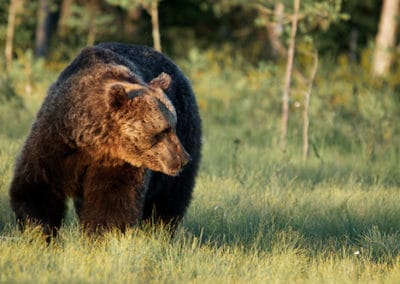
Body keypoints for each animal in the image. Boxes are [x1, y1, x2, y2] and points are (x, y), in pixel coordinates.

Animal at [8, 42, 203, 237]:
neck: (90, 141)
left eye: (172, 126)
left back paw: (160, 230)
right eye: (162, 130)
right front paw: (38, 231)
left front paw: (103, 234)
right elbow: (38, 186)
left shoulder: (117, 162)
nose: (183, 158)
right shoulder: (55, 141)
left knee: (169, 198)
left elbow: (112, 199)